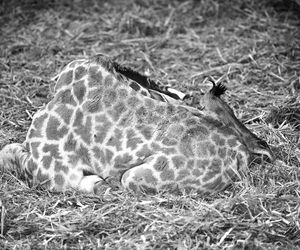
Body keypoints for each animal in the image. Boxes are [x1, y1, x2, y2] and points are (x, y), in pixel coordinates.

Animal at [0, 54, 274, 195]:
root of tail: (239, 152)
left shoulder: (51, 171)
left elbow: (7, 152)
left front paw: (97, 184)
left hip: (132, 177)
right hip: (214, 109)